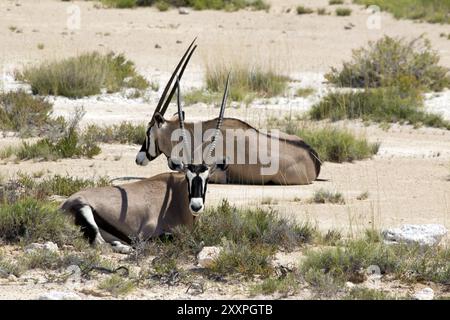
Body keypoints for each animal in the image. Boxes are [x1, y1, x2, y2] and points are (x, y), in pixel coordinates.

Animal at [62, 77, 230, 252]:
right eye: (187, 177)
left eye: (207, 178)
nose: (196, 206)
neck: (175, 195)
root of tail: (64, 204)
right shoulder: (147, 234)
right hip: (85, 210)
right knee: (100, 243)